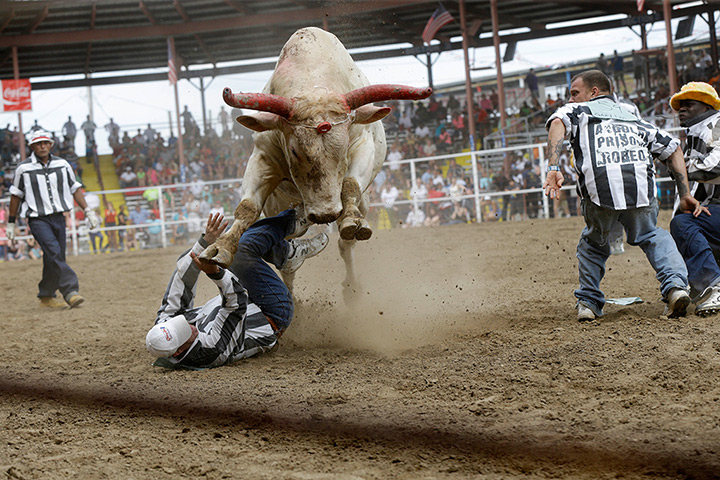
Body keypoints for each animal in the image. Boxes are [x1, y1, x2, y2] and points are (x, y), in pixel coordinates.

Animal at [200, 28, 430, 294]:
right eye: (294, 150)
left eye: (343, 149)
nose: (324, 215)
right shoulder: (263, 157)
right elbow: (247, 207)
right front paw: (219, 248)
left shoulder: (362, 145)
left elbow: (350, 185)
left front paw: (351, 220)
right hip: (279, 205)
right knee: (286, 248)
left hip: (363, 202)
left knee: (345, 244)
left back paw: (351, 285)